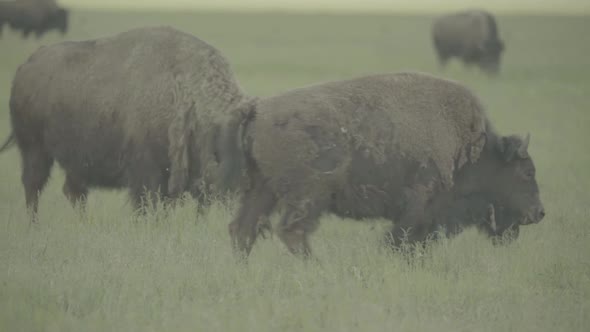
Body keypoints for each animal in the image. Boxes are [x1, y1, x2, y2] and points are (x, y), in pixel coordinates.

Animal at [0, 26, 252, 218]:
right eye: (223, 150)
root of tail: (26, 67)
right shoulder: (145, 173)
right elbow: (145, 203)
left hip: (73, 162)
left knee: (73, 191)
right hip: (35, 150)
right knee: (33, 186)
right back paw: (34, 224)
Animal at [227, 72, 544, 258]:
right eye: (527, 173)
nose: (539, 213)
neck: (470, 149)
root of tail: (257, 109)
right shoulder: (420, 206)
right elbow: (401, 239)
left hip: (261, 190)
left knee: (242, 230)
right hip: (308, 195)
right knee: (291, 231)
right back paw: (316, 266)